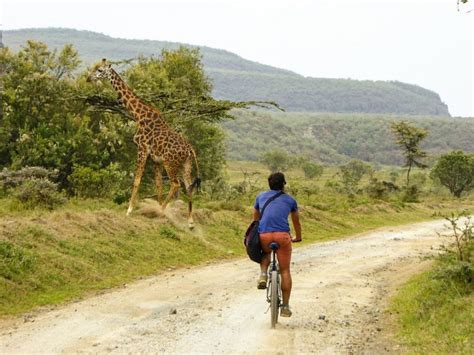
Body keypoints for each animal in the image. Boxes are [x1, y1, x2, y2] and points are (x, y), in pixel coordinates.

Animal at [88, 59, 201, 228]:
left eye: (100, 70)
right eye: (94, 67)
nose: (88, 78)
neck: (138, 115)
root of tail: (190, 149)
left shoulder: (142, 149)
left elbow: (137, 180)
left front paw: (130, 210)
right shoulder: (155, 159)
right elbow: (158, 184)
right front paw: (155, 208)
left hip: (170, 163)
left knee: (176, 184)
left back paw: (162, 210)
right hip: (186, 165)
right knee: (188, 186)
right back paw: (190, 221)